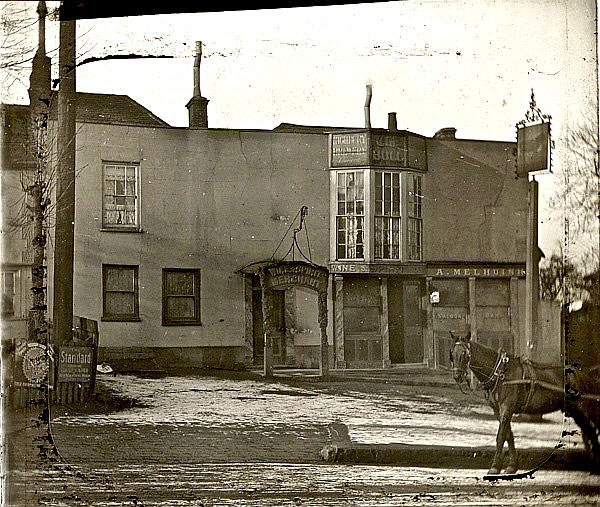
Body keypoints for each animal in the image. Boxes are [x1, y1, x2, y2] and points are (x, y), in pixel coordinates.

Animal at [448, 334, 564, 476]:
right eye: (452, 353)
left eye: (465, 354)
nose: (457, 376)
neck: (501, 372)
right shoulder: (498, 410)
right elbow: (509, 435)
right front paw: (512, 466)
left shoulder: (506, 408)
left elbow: (500, 437)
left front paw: (494, 467)